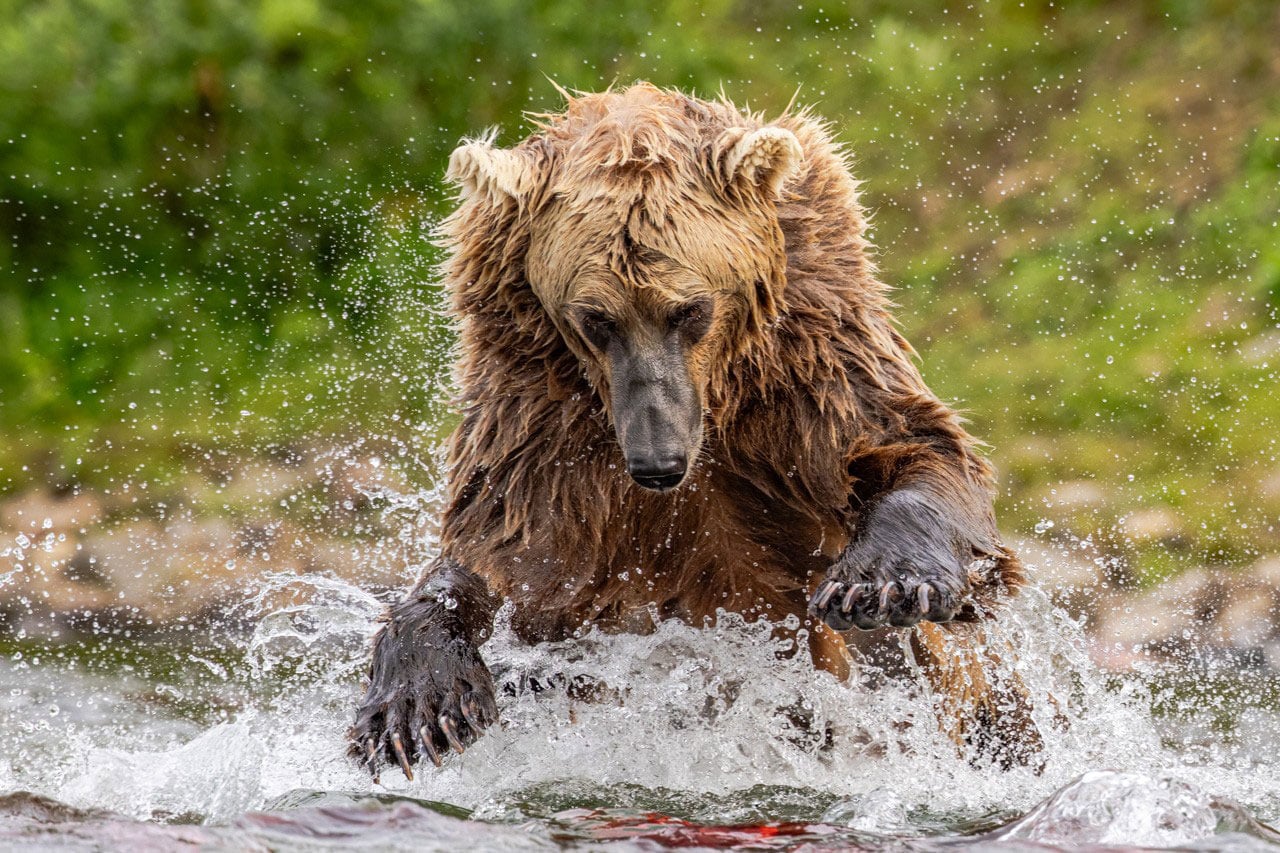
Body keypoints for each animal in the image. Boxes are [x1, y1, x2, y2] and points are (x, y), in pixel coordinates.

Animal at [350, 83, 1039, 780]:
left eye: (690, 309)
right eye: (596, 318)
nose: (659, 463)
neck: (717, 403)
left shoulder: (808, 369)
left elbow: (908, 446)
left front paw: (883, 584)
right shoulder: (544, 422)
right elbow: (506, 552)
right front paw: (418, 706)